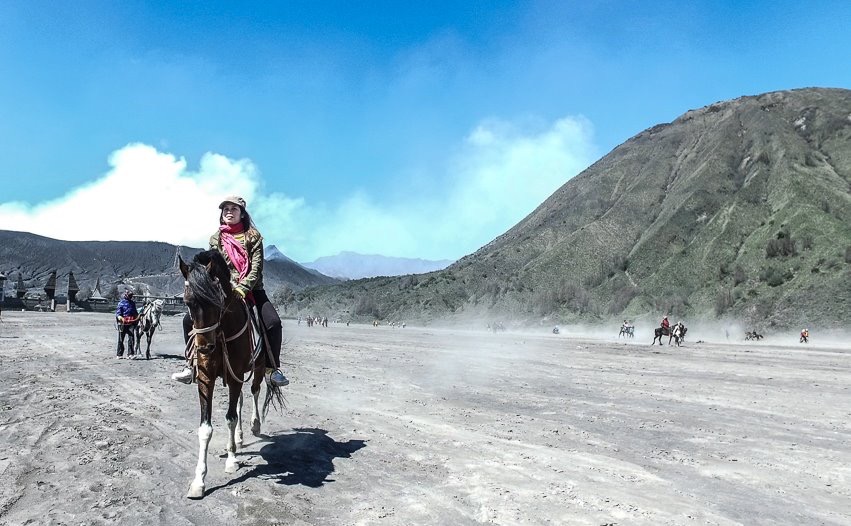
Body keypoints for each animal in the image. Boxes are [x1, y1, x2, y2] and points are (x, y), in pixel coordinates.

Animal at [179, 252, 284, 500]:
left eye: (216, 302)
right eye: (188, 303)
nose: (205, 348)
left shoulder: (236, 375)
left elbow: (230, 418)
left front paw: (232, 460)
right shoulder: (206, 378)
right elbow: (205, 428)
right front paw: (198, 481)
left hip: (257, 368)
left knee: (254, 392)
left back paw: (254, 426)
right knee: (241, 401)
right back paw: (239, 437)